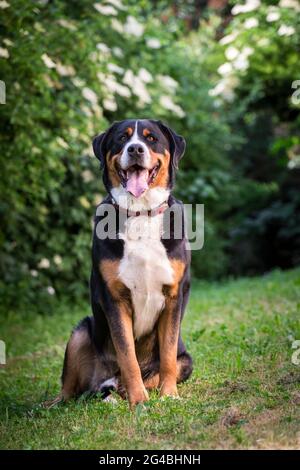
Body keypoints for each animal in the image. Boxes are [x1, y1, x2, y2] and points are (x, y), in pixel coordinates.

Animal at [58, 120, 192, 408]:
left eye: (151, 139)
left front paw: (169, 395)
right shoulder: (115, 298)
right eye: (122, 138)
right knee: (66, 393)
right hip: (81, 332)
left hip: (187, 361)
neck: (140, 213)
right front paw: (139, 400)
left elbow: (167, 354)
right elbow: (127, 355)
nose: (136, 149)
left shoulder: (174, 296)